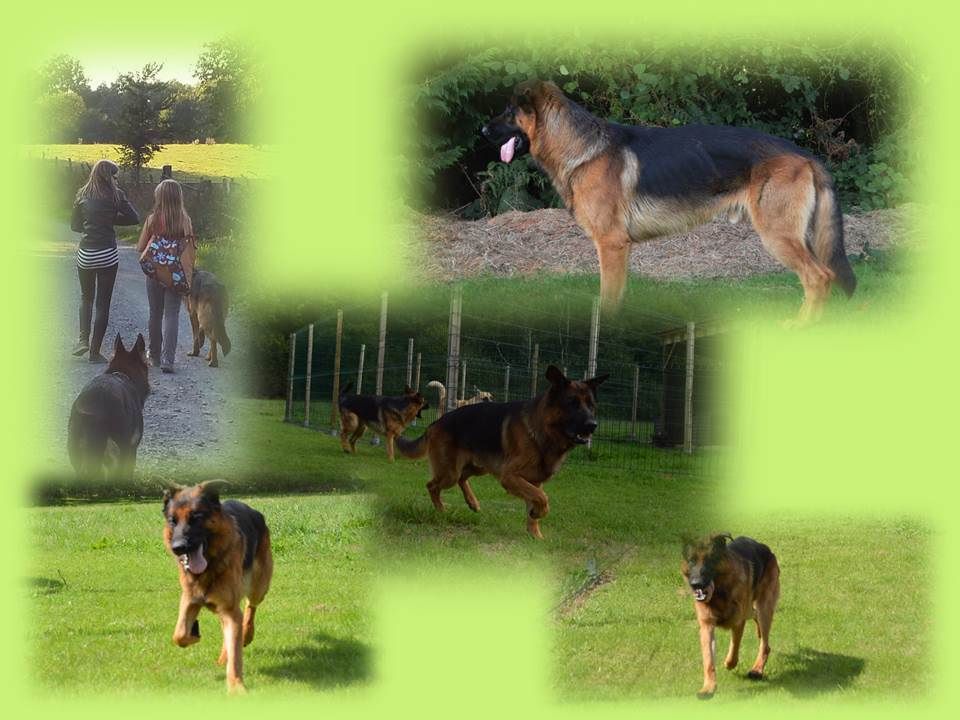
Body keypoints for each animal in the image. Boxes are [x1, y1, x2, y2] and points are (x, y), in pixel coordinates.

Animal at [163, 480, 272, 696]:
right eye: (172, 520)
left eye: (196, 518)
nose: (177, 548)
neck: (210, 568)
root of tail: (254, 511)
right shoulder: (189, 599)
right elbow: (179, 635)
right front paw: (193, 632)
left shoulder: (230, 609)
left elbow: (236, 656)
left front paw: (236, 686)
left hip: (259, 586)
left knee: (250, 607)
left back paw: (246, 634)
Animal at [398, 368, 608, 536]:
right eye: (572, 403)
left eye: (591, 405)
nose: (593, 425)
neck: (542, 430)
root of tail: (435, 423)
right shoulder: (509, 477)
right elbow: (543, 498)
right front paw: (538, 513)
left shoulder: (534, 481)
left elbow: (536, 500)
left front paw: (535, 535)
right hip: (451, 472)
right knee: (432, 485)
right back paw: (441, 511)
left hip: (480, 467)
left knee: (462, 478)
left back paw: (472, 502)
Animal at [484, 80, 860, 324]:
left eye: (509, 112)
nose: (483, 132)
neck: (582, 150)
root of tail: (807, 156)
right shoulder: (620, 251)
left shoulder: (612, 246)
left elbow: (608, 301)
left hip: (778, 236)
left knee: (819, 277)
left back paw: (803, 327)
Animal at [684, 536, 780, 696]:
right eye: (691, 562)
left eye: (709, 561)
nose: (696, 584)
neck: (720, 593)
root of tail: (766, 548)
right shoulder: (706, 626)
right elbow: (708, 659)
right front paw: (708, 687)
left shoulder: (738, 622)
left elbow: (735, 646)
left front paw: (730, 663)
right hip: (751, 609)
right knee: (754, 616)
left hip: (764, 607)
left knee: (765, 644)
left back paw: (757, 669)